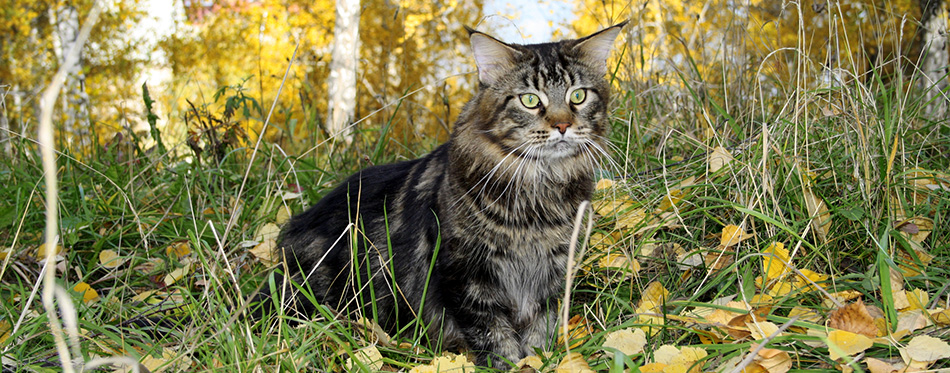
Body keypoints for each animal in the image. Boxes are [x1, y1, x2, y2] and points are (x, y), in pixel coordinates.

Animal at [264, 22, 628, 366]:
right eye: (530, 100)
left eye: (578, 96)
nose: (563, 125)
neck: (538, 194)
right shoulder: (467, 277)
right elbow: (495, 337)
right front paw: (512, 365)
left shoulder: (550, 276)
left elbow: (539, 332)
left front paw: (540, 361)